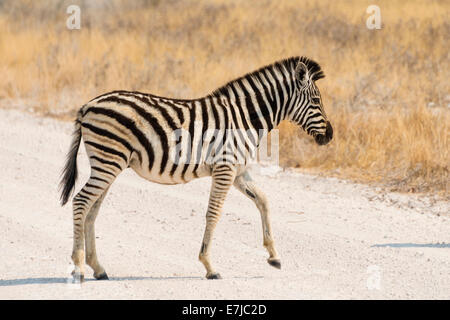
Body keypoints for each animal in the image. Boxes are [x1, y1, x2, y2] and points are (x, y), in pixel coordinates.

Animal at [59, 56, 332, 282]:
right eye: (316, 100)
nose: (330, 135)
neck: (244, 119)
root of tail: (87, 105)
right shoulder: (225, 169)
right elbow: (214, 214)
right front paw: (210, 267)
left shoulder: (238, 171)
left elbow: (263, 201)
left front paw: (274, 256)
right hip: (108, 161)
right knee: (81, 202)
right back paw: (79, 267)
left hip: (108, 163)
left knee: (92, 210)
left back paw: (98, 268)